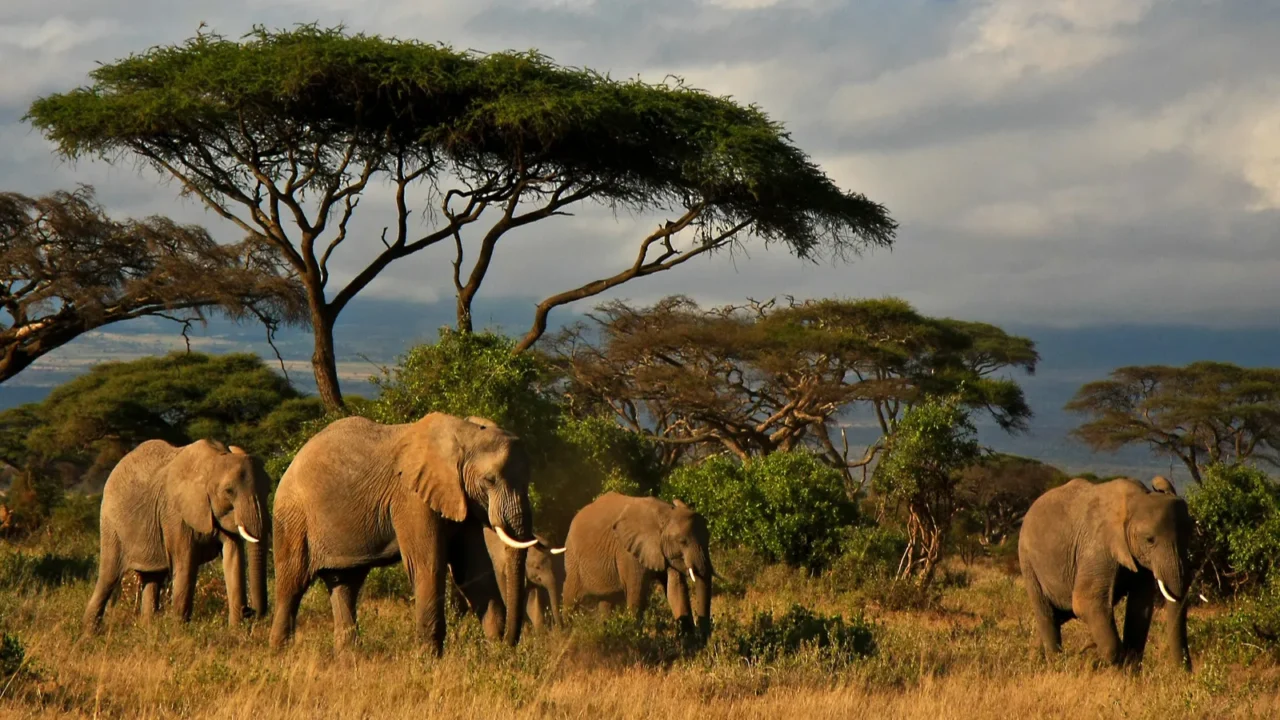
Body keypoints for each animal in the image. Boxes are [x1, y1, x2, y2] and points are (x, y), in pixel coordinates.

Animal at [83, 439, 270, 634]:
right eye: (229, 491)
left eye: (269, 490)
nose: (250, 611)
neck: (213, 460)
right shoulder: (174, 514)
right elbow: (186, 563)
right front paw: (180, 633)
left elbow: (234, 558)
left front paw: (235, 632)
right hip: (111, 525)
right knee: (109, 577)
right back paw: (89, 634)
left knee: (152, 578)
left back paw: (147, 631)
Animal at [269, 412, 538, 654]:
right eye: (490, 480)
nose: (510, 644)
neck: (464, 434)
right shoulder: (412, 498)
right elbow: (427, 566)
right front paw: (427, 661)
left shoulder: (463, 499)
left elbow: (471, 572)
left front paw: (496, 654)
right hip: (293, 518)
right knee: (292, 584)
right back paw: (279, 654)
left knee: (345, 585)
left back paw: (348, 660)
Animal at [563, 492, 712, 640]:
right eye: (682, 541)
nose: (704, 636)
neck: (665, 514)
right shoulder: (628, 553)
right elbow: (637, 596)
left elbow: (676, 590)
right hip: (573, 559)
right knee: (570, 598)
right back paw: (565, 638)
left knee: (606, 602)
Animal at [1019, 477, 1193, 670]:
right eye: (1150, 540)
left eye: (1190, 536)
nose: (1184, 672)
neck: (1137, 499)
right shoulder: (1097, 547)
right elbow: (1085, 602)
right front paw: (1105, 664)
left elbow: (1140, 609)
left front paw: (1129, 673)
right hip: (1028, 562)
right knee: (1047, 614)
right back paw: (1056, 666)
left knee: (1060, 614)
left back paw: (1034, 660)